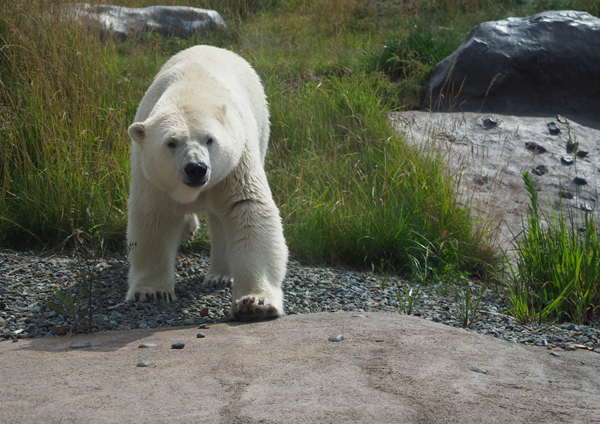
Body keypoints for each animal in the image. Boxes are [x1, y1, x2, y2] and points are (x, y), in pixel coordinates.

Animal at [125, 44, 288, 320]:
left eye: (210, 139)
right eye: (171, 142)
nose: (196, 169)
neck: (191, 90)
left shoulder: (235, 164)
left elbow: (248, 209)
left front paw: (255, 302)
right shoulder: (151, 176)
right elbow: (153, 217)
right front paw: (151, 292)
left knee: (222, 220)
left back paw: (220, 275)